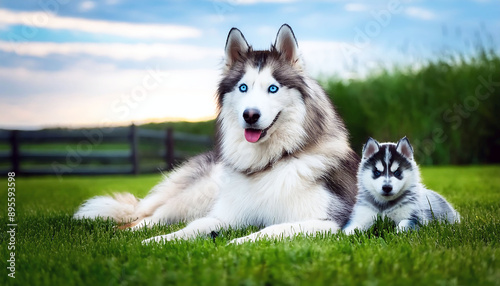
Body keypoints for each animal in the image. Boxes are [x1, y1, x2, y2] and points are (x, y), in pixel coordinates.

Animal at [74, 24, 362, 244]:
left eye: (273, 88)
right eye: (243, 87)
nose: (250, 115)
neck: (269, 163)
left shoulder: (329, 222)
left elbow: (271, 230)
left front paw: (236, 243)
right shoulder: (226, 215)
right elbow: (193, 227)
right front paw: (157, 241)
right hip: (198, 195)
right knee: (151, 217)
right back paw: (129, 232)